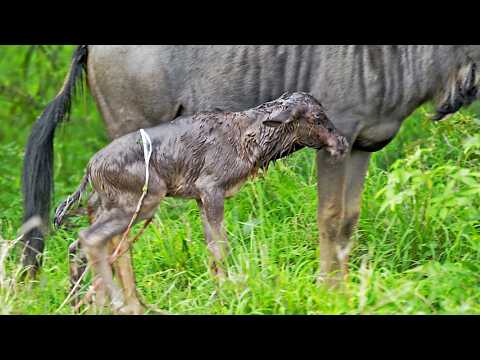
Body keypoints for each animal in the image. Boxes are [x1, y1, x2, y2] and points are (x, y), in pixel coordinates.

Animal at [54, 93, 348, 316]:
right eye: (318, 117)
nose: (342, 143)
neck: (247, 139)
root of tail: (90, 169)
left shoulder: (200, 198)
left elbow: (211, 248)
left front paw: (220, 293)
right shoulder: (212, 190)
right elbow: (221, 246)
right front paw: (228, 294)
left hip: (111, 208)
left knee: (85, 246)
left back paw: (94, 305)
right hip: (142, 203)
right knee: (91, 239)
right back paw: (119, 304)